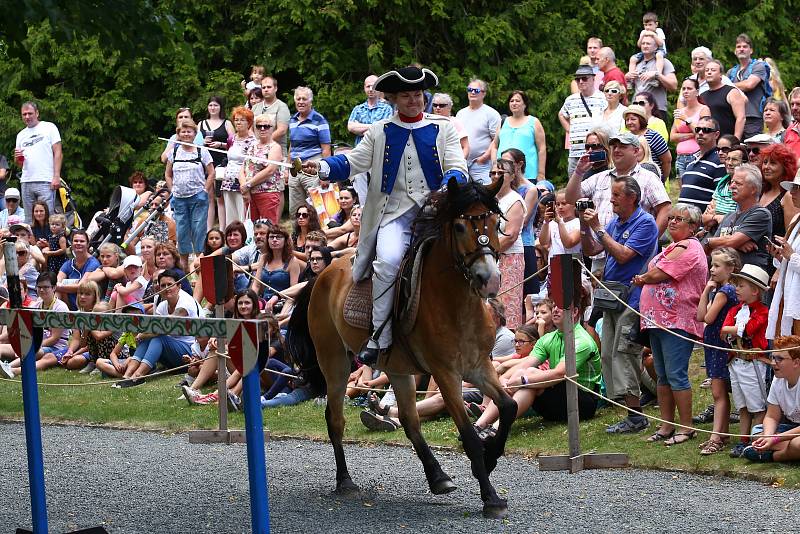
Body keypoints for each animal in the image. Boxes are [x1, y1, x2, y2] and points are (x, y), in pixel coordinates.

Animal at [286, 179, 520, 520]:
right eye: (460, 226)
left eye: (495, 221)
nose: (488, 279)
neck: (456, 303)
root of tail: (323, 275)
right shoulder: (447, 374)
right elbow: (469, 435)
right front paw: (490, 496)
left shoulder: (479, 367)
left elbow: (509, 406)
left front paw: (489, 460)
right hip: (335, 362)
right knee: (336, 419)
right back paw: (345, 481)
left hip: (397, 369)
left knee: (410, 422)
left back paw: (438, 477)